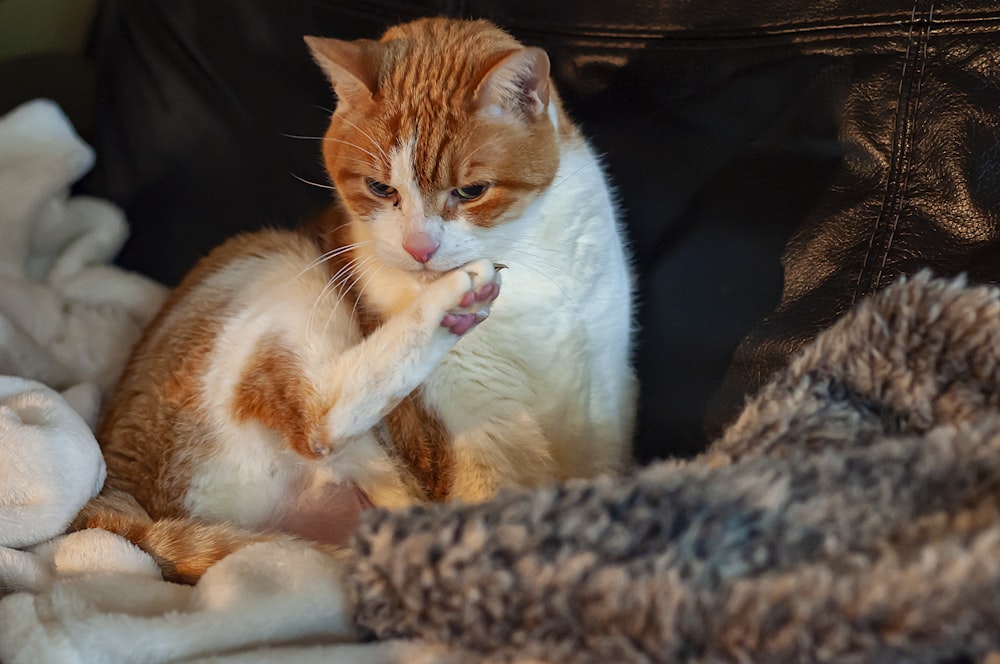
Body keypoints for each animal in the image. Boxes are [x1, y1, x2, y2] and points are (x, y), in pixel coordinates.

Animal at [72, 16, 632, 588]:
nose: (420, 248)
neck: (524, 267)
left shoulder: (605, 392)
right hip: (272, 263)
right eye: (381, 189)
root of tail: (118, 499)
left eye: (472, 191)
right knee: (316, 421)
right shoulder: (473, 423)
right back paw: (455, 300)